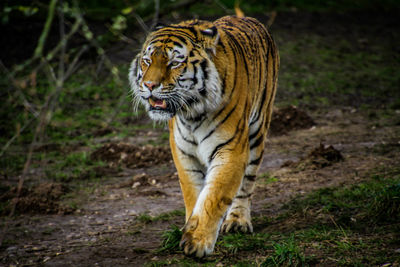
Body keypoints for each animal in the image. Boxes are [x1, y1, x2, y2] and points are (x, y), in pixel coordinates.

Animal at [128, 14, 278, 258]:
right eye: (147, 61)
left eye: (174, 63)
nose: (149, 85)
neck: (192, 113)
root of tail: (246, 17)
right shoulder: (183, 152)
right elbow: (194, 193)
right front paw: (190, 228)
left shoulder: (230, 149)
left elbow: (214, 195)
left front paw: (197, 242)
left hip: (257, 131)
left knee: (246, 183)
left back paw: (238, 221)